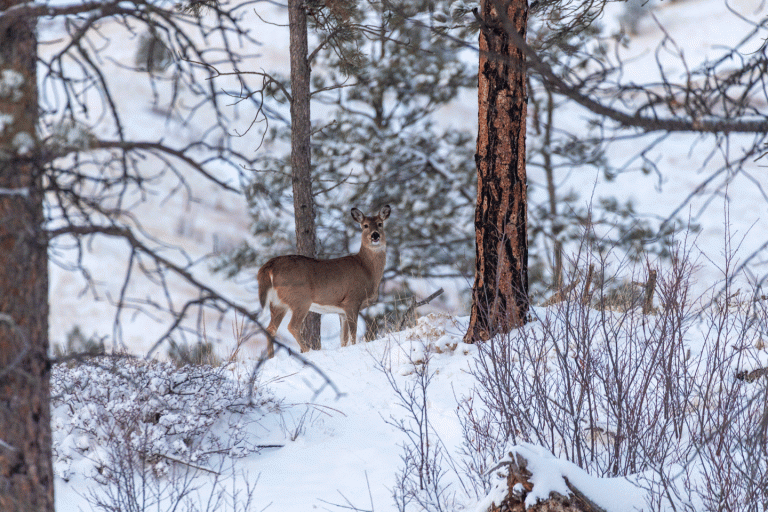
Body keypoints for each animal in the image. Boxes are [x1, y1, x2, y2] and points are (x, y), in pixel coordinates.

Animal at [256, 206, 390, 358]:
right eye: (365, 225)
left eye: (380, 223)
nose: (375, 235)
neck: (367, 269)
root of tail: (269, 266)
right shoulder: (352, 300)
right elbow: (353, 334)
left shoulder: (342, 310)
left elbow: (343, 339)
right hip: (300, 299)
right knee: (292, 326)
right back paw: (308, 351)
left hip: (278, 303)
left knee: (270, 328)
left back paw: (270, 357)